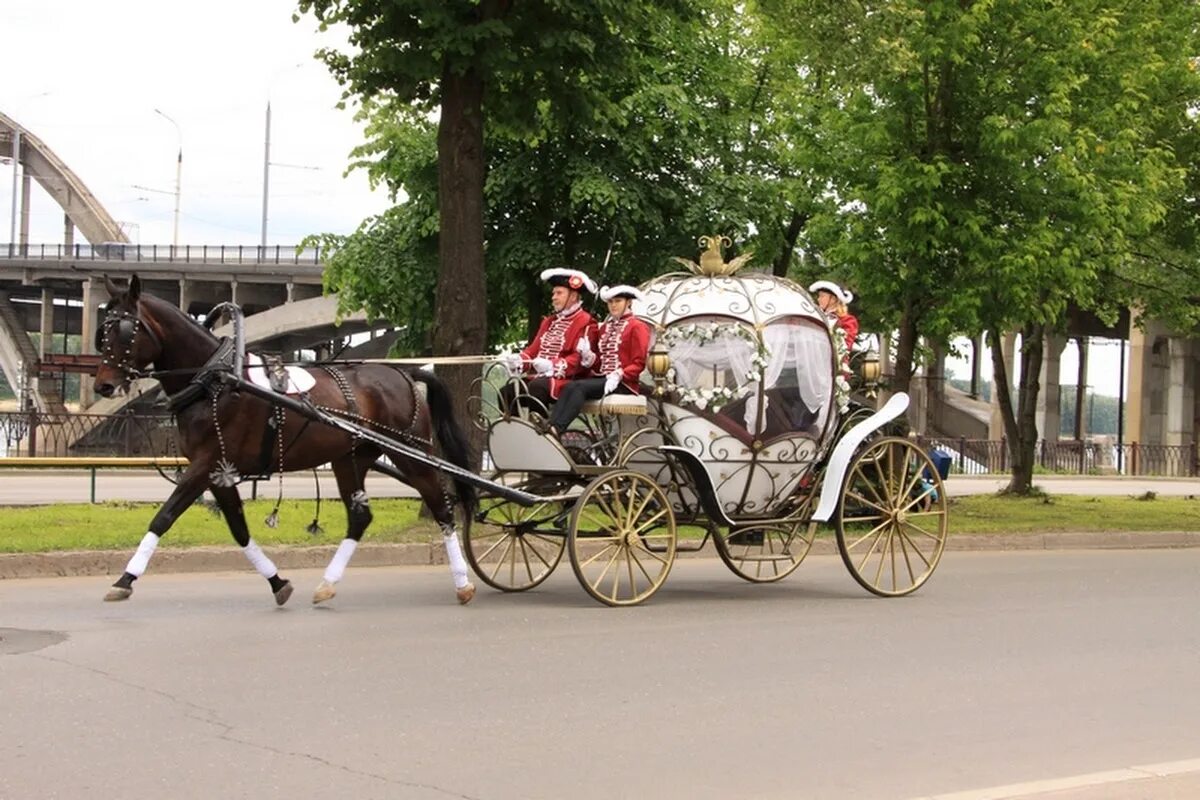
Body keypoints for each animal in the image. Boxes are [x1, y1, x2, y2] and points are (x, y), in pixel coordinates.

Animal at [92, 275, 477, 606]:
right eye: (102, 332)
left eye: (125, 330)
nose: (103, 386)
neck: (215, 379)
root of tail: (404, 373)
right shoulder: (218, 471)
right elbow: (238, 529)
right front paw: (277, 582)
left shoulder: (205, 465)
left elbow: (164, 517)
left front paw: (124, 579)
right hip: (350, 459)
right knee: (360, 518)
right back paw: (327, 584)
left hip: (412, 453)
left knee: (443, 509)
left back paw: (463, 582)